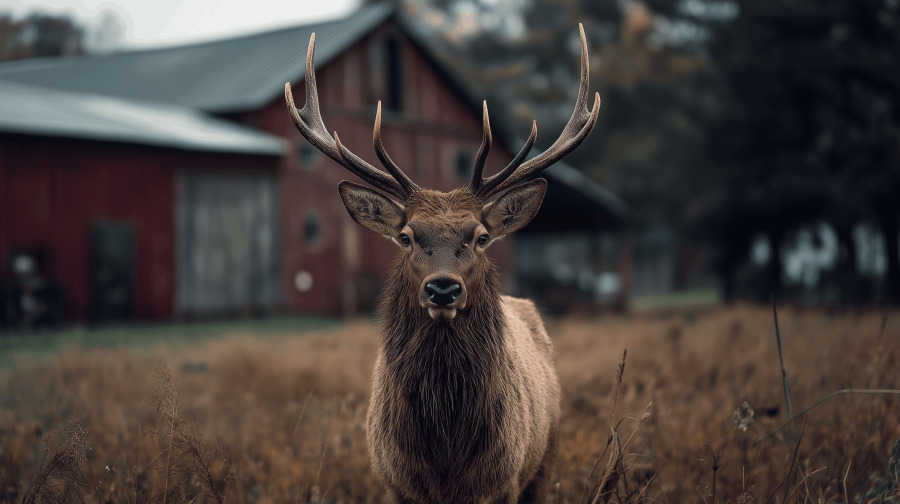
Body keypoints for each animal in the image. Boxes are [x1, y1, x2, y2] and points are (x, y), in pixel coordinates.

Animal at [284, 24, 600, 504]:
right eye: (406, 236)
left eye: (481, 237)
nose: (443, 288)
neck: (444, 454)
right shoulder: (398, 481)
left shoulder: (503, 480)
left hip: (546, 458)